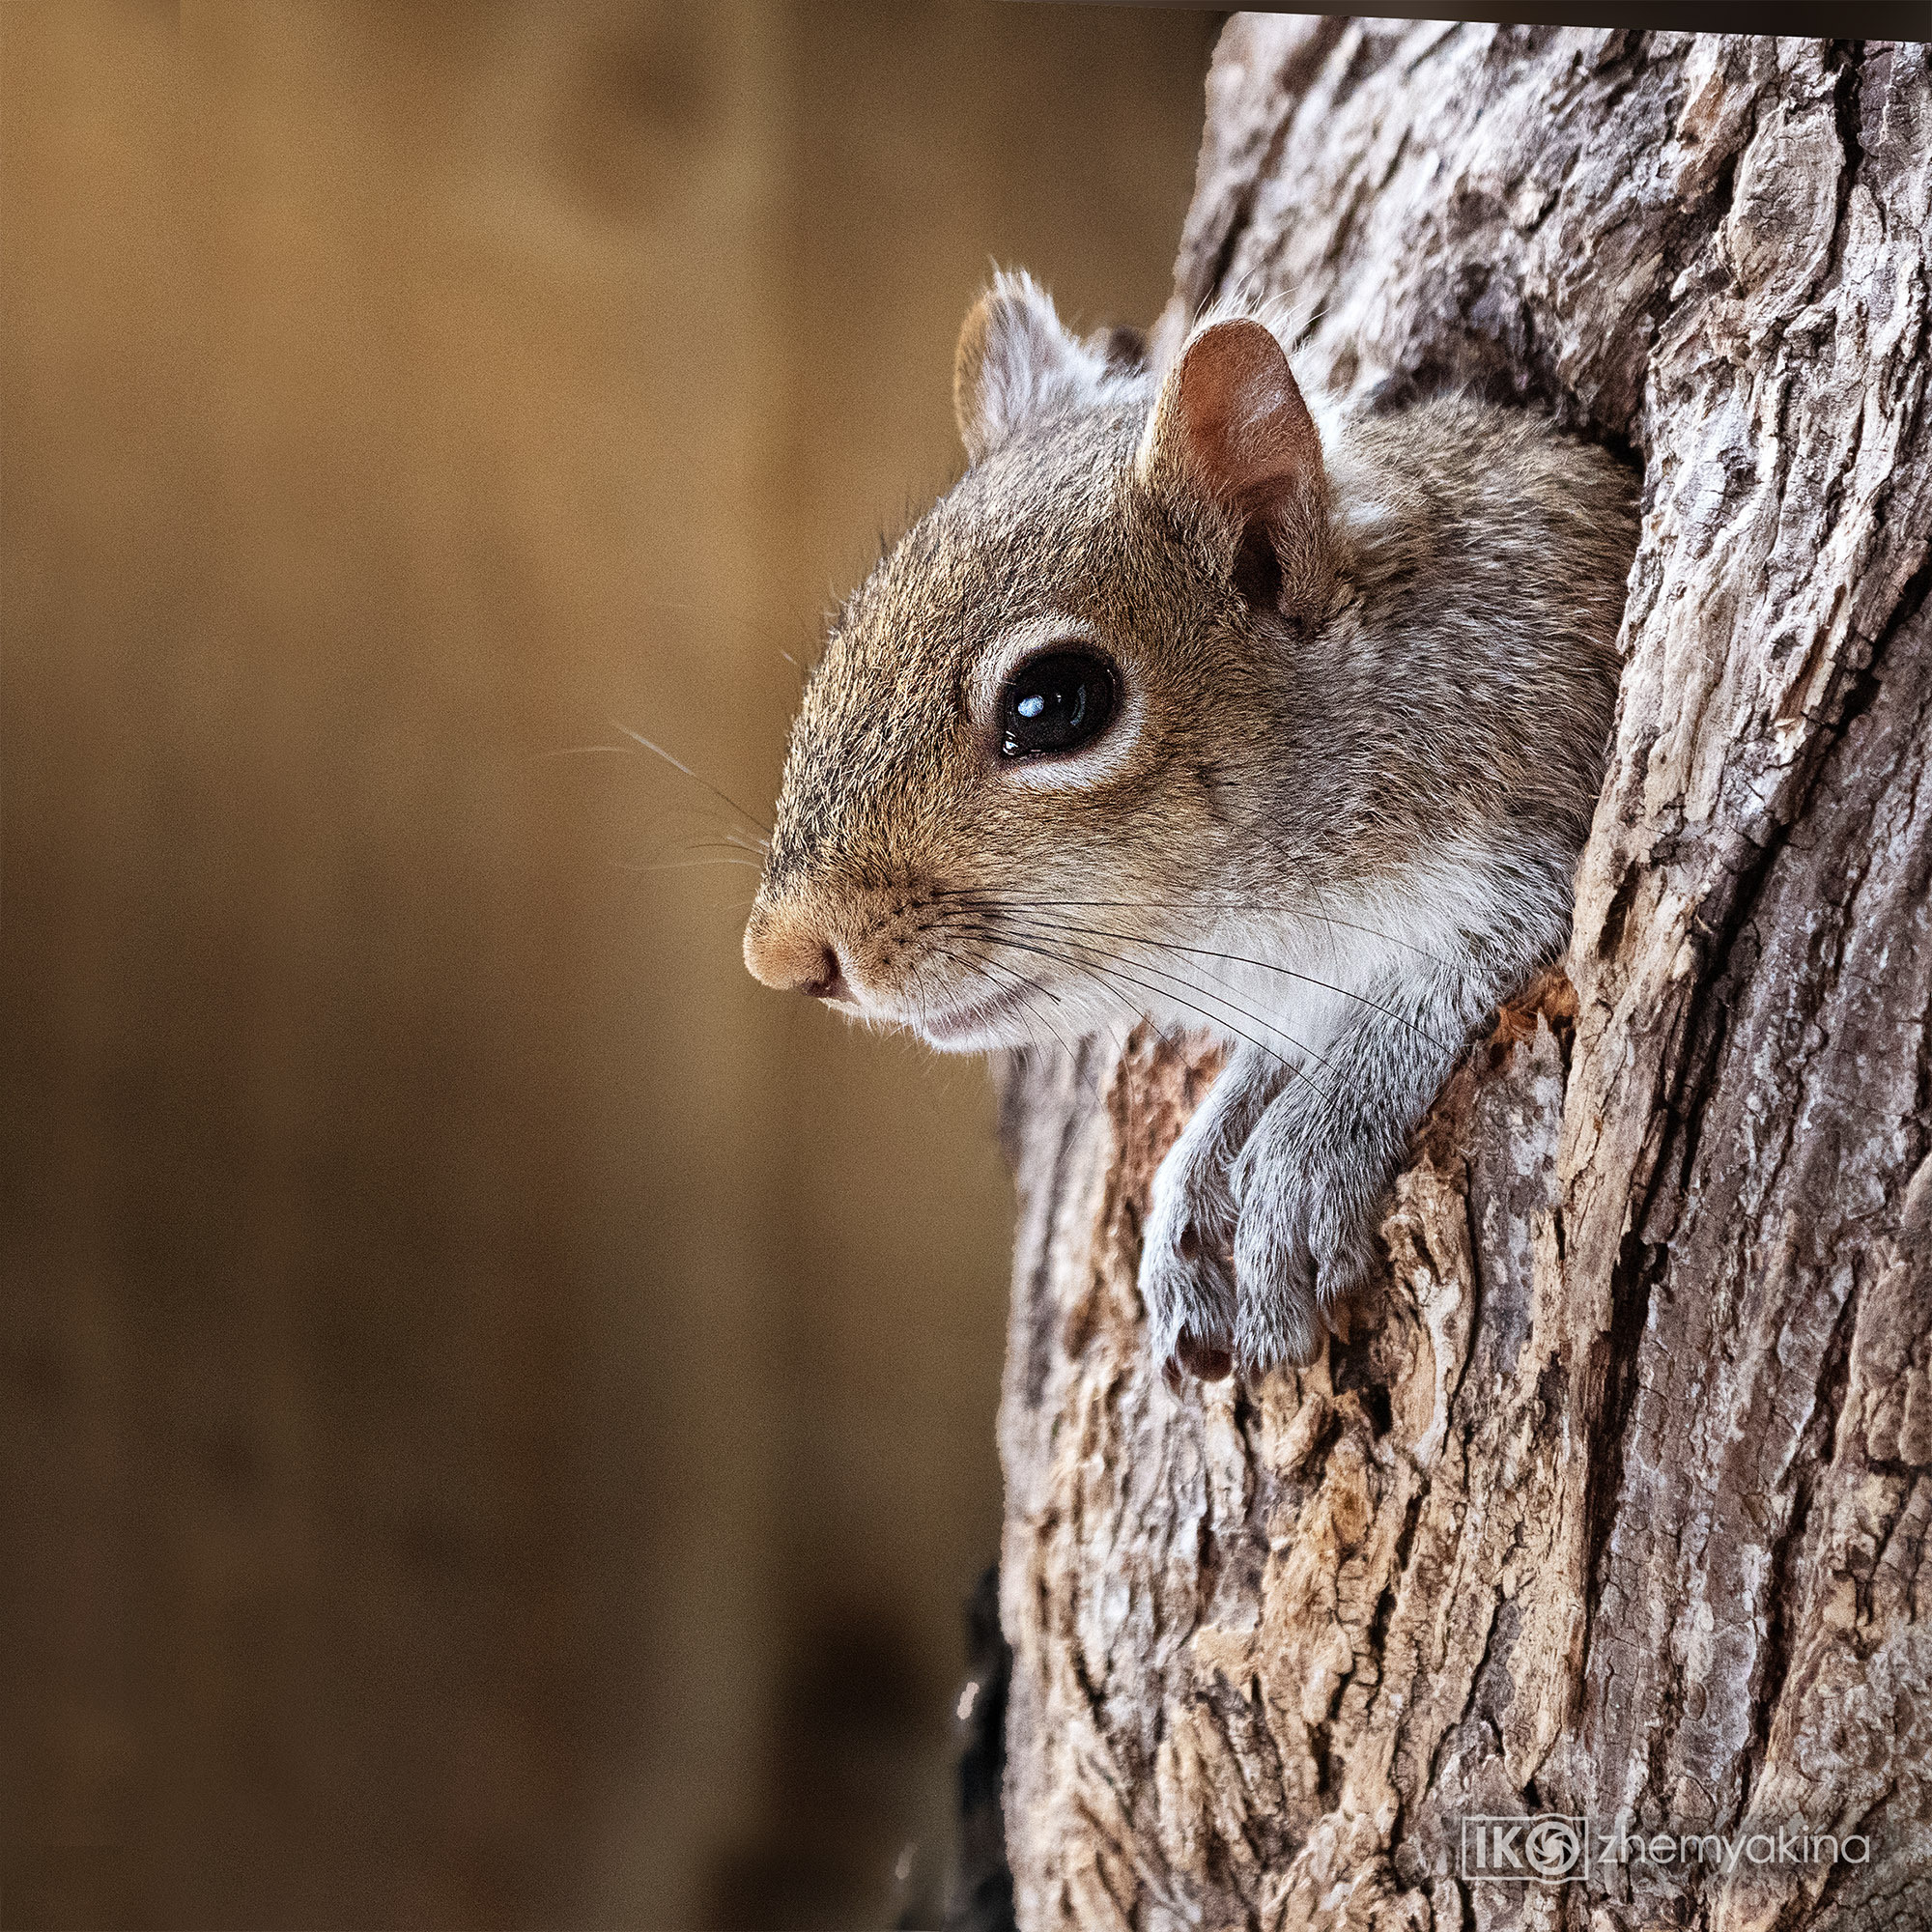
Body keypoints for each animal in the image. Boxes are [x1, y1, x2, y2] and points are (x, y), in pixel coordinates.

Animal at [743, 270, 1638, 1382]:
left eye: (1055, 702)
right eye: (847, 630)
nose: (782, 954)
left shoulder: (1532, 801)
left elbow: (1446, 979)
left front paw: (1306, 1146)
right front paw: (1199, 1170)